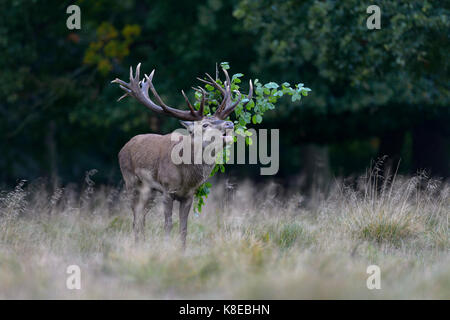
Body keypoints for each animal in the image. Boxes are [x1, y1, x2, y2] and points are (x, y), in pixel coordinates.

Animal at [111, 62, 253, 248]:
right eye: (205, 124)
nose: (229, 123)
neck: (186, 176)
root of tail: (124, 147)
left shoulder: (189, 195)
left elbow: (184, 227)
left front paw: (182, 250)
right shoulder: (167, 189)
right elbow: (168, 224)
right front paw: (167, 248)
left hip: (150, 191)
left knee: (142, 217)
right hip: (131, 181)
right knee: (136, 218)